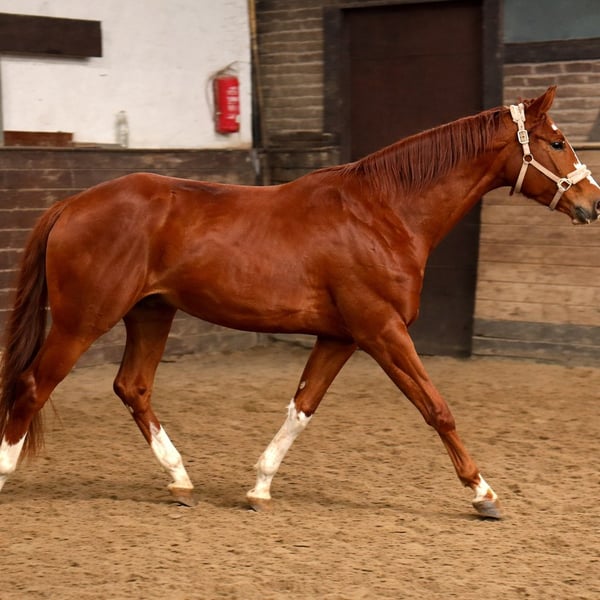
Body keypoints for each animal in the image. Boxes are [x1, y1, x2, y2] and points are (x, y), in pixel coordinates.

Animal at [0, 86, 598, 519]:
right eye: (558, 142)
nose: (592, 202)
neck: (383, 213)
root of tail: (73, 203)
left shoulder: (340, 336)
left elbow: (302, 408)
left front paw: (259, 488)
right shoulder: (382, 330)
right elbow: (437, 408)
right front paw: (483, 493)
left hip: (151, 313)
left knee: (133, 388)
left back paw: (181, 480)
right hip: (83, 321)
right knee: (33, 386)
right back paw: (8, 472)